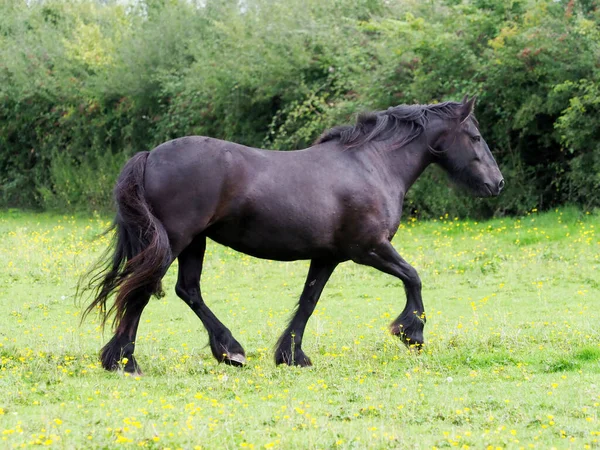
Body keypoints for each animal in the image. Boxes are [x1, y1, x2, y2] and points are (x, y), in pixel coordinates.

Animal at [79, 95, 502, 372]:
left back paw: (227, 351)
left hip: (194, 242)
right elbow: (413, 276)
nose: (497, 183)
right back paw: (126, 361)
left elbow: (308, 301)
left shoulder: (328, 256)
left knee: (187, 290)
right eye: (476, 137)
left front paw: (292, 356)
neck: (373, 165)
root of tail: (151, 155)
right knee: (141, 292)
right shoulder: (369, 249)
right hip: (175, 241)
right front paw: (410, 332)